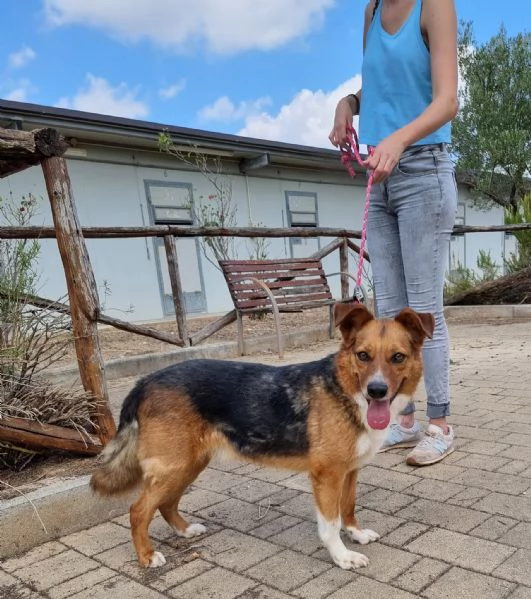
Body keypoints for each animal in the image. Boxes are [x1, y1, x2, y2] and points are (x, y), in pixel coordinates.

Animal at [90, 304, 432, 572]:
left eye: (398, 357)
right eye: (363, 356)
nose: (377, 391)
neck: (346, 390)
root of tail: (146, 381)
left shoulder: (349, 471)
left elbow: (348, 508)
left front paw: (355, 535)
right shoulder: (328, 476)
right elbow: (331, 523)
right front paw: (342, 556)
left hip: (187, 465)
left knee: (166, 504)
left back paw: (185, 532)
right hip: (174, 466)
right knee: (139, 511)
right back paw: (147, 557)